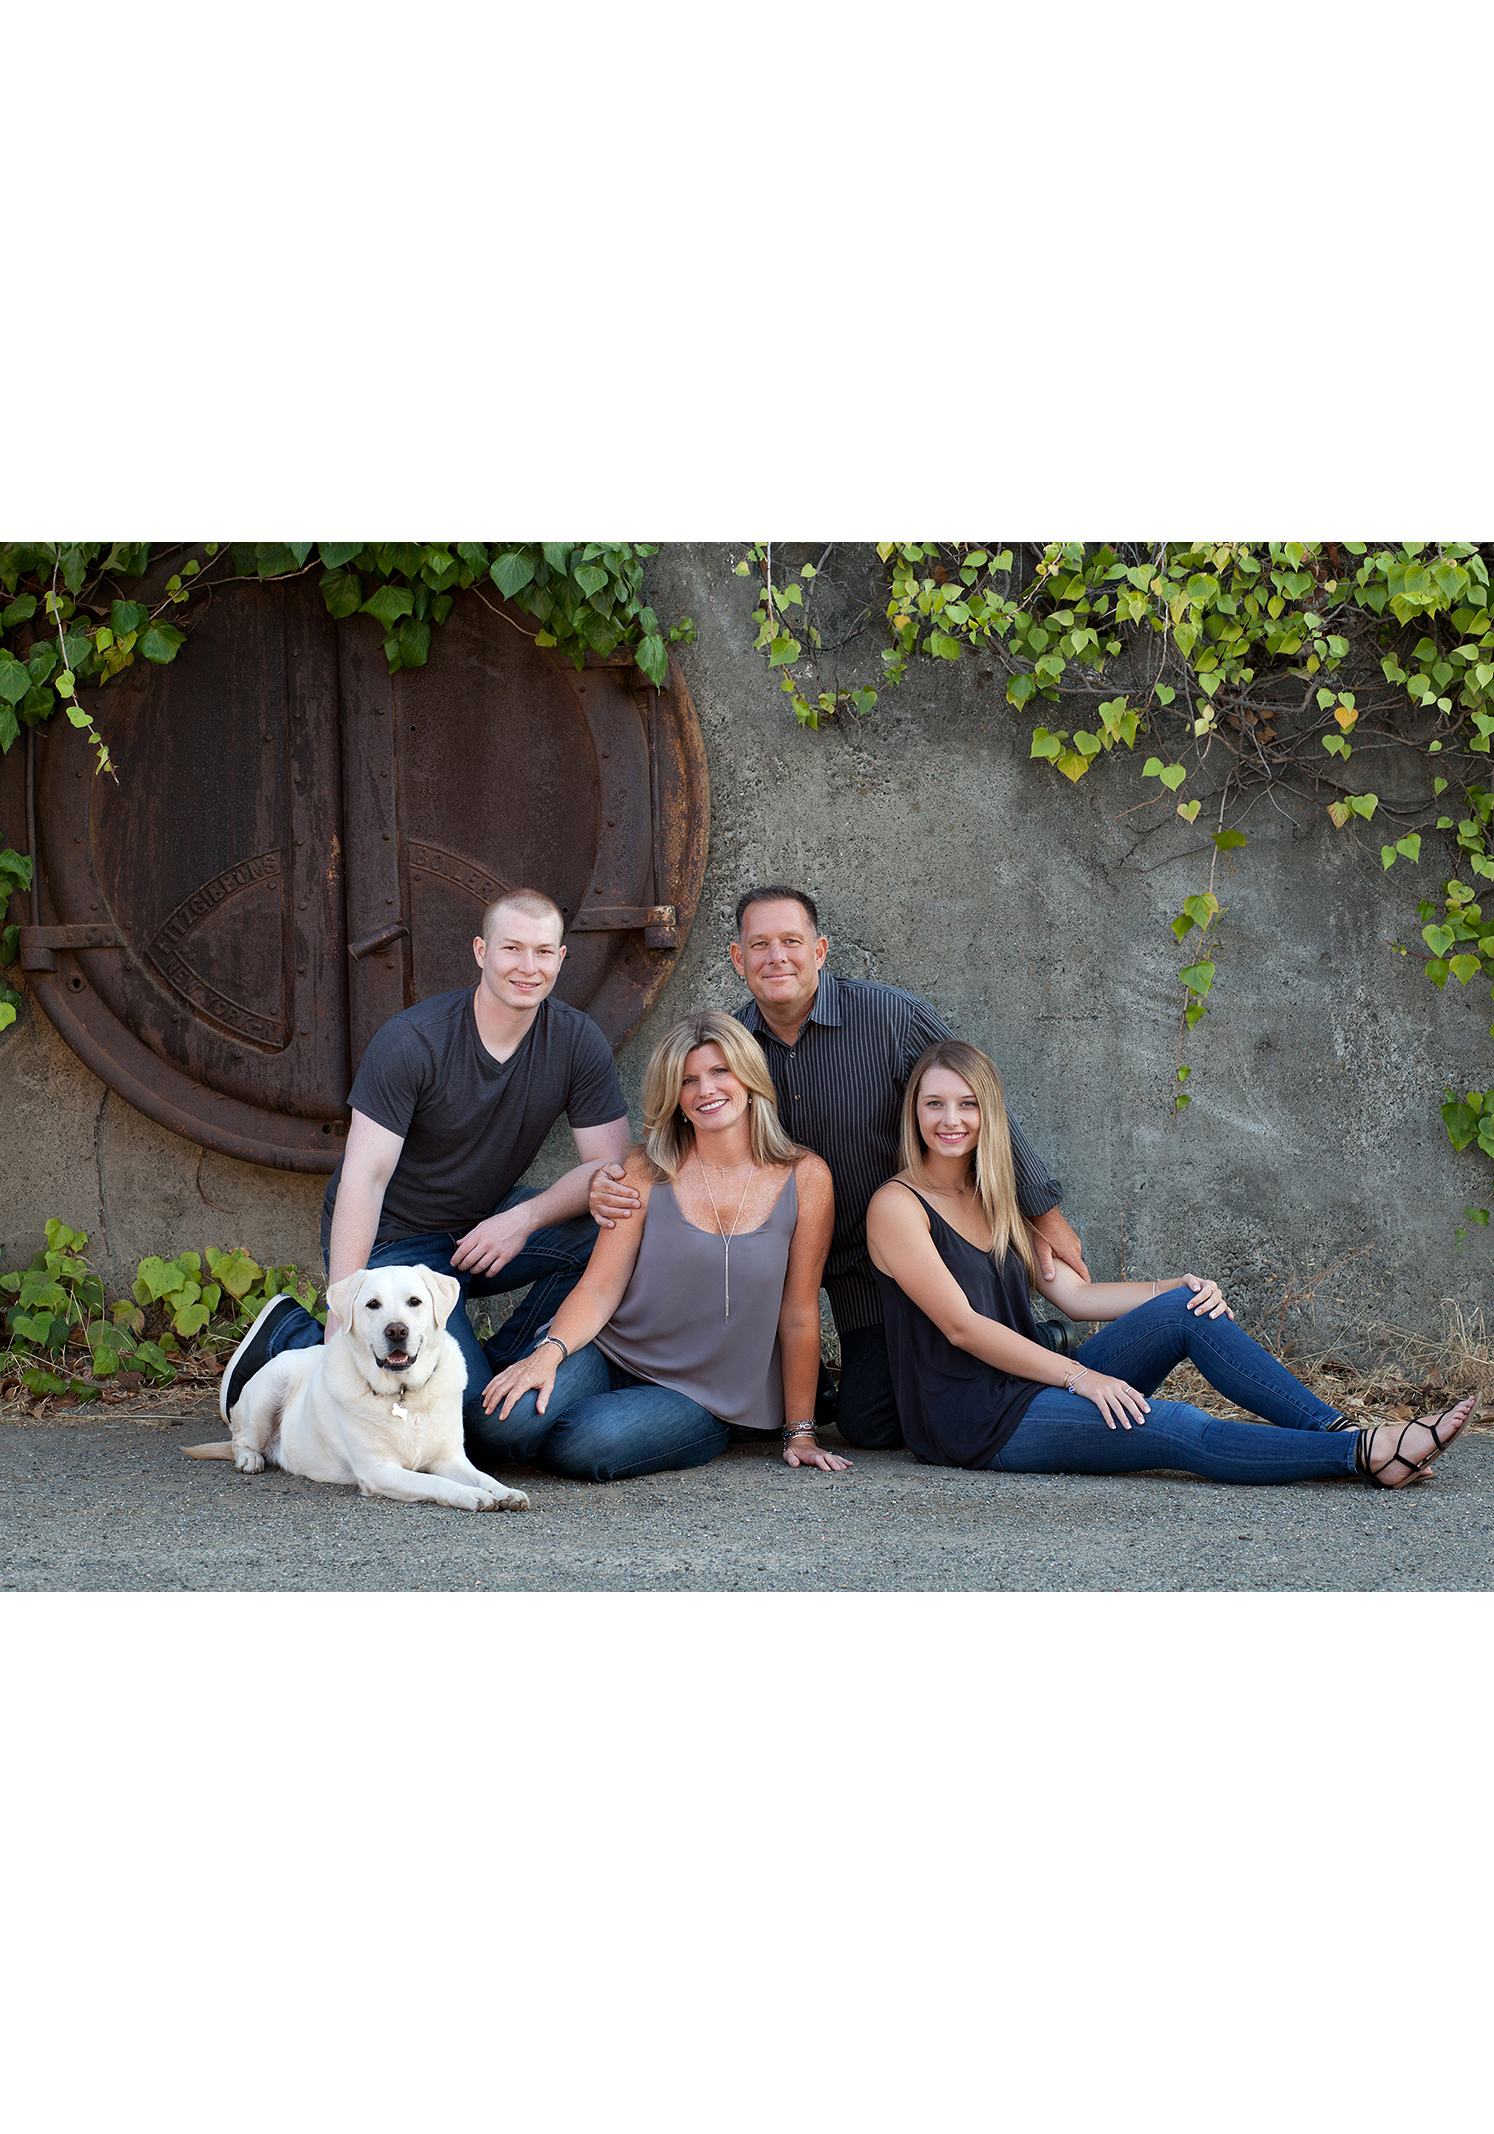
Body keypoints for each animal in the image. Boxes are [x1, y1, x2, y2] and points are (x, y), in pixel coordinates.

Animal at [185, 1263, 527, 1519]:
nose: (396, 1330)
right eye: (373, 1304)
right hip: (267, 1393)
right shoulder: (379, 1470)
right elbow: (435, 1483)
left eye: (414, 1302)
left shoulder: (450, 1459)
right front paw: (472, 1495)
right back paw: (249, 1459)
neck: (404, 1394)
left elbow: (482, 1476)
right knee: (239, 1439)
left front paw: (504, 1491)